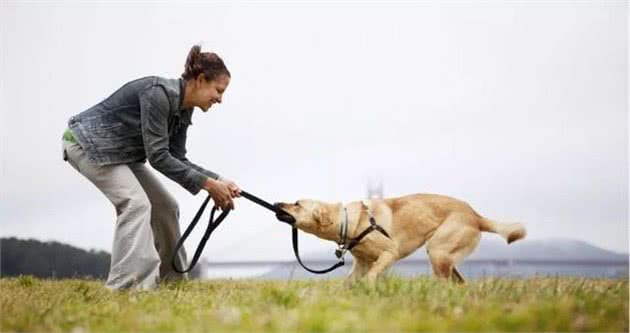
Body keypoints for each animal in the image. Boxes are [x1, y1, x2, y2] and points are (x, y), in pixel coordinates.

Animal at [276, 193, 528, 284]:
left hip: (437, 251)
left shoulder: (390, 253)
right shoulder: (361, 265)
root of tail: (476, 215)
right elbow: (349, 282)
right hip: (444, 256)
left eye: (297, 204)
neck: (350, 221)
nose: (276, 203)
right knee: (459, 283)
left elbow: (373, 275)